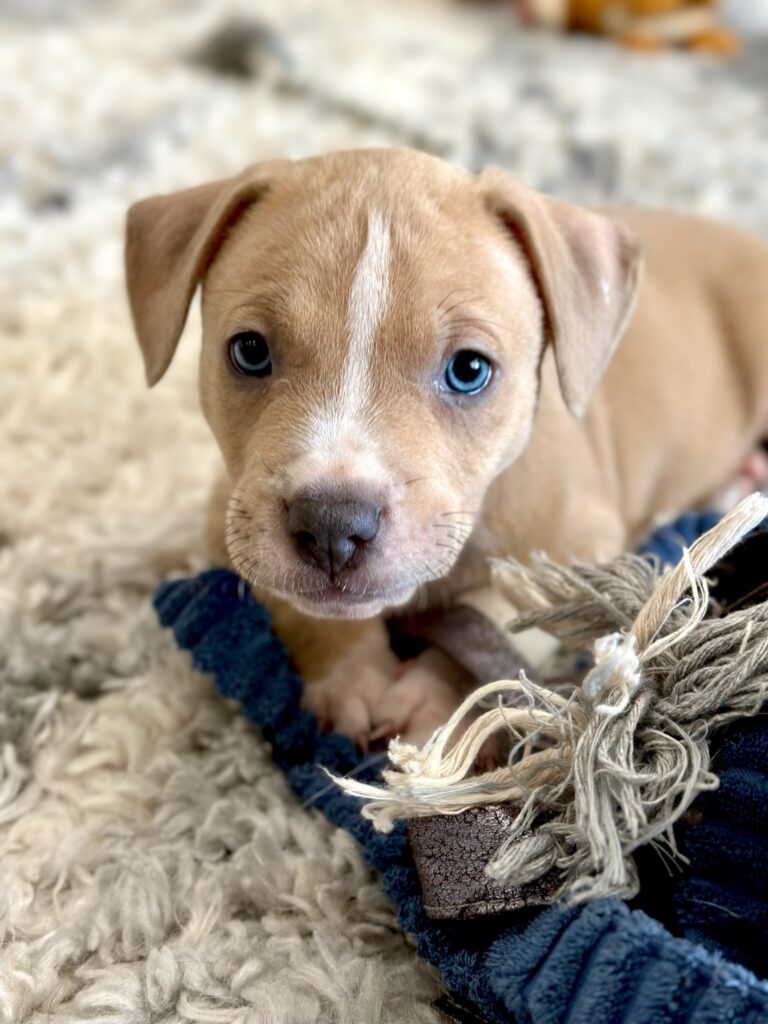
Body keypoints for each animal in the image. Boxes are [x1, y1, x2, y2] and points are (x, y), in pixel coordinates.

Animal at [124, 148, 768, 745]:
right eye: (251, 351)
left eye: (469, 369)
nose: (332, 525)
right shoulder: (232, 517)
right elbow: (291, 600)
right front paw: (350, 673)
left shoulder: (580, 547)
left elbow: (503, 616)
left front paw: (437, 698)